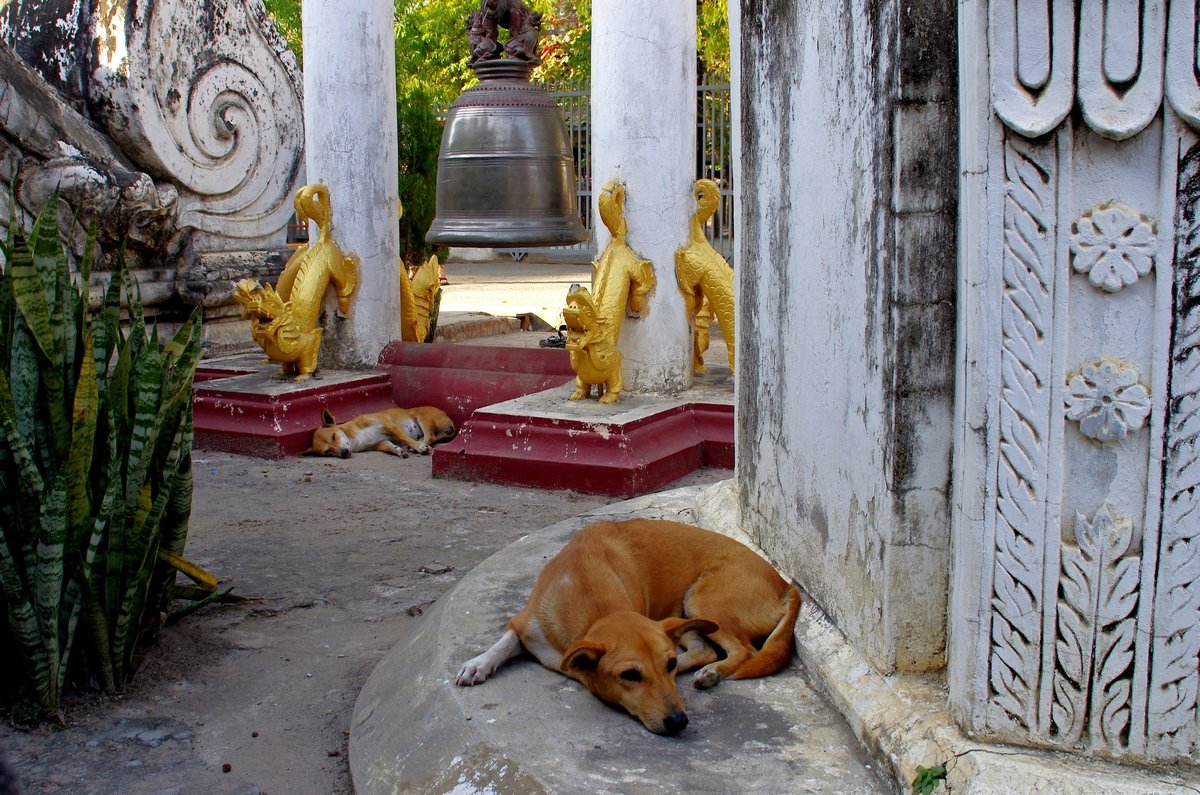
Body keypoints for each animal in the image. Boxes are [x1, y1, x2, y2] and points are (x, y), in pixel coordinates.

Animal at [307, 408, 456, 458]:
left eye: (333, 436)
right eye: (328, 452)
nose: (343, 453)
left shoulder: (390, 426)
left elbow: (405, 437)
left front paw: (417, 447)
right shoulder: (379, 443)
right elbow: (389, 447)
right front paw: (398, 450)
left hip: (421, 417)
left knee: (429, 436)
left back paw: (419, 446)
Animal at [453, 521, 801, 739]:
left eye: (667, 665)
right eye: (629, 676)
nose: (679, 721)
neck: (582, 583)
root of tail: (785, 584)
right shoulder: (525, 622)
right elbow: (502, 642)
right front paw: (477, 664)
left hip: (703, 602)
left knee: (744, 650)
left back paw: (712, 672)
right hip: (684, 611)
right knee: (703, 649)